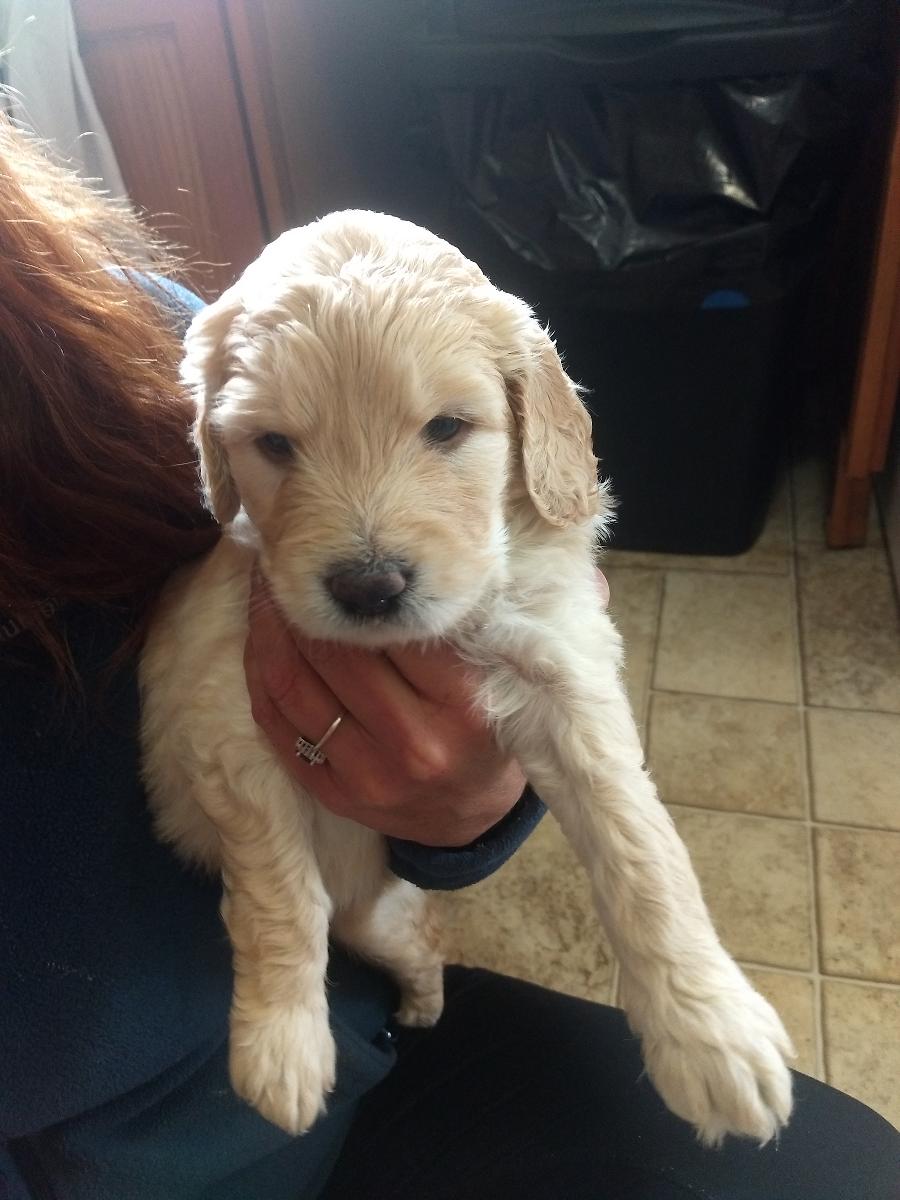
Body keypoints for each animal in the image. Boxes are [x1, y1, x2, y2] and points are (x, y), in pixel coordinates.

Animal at [141, 211, 796, 1147]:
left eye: (447, 429)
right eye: (273, 444)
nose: (370, 587)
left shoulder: (564, 667)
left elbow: (641, 849)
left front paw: (712, 1034)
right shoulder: (225, 717)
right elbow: (277, 898)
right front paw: (283, 1046)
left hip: (390, 920)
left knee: (427, 947)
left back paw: (421, 1011)